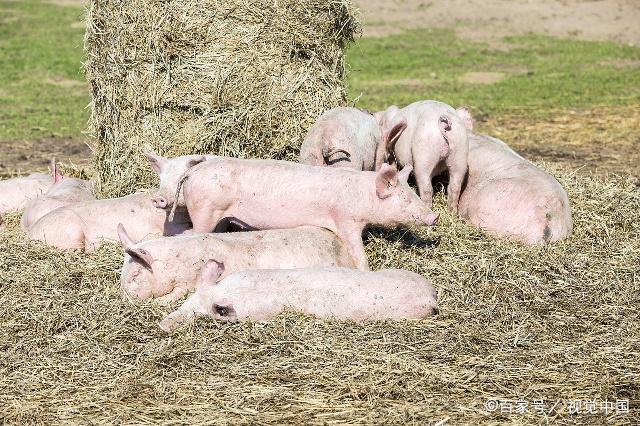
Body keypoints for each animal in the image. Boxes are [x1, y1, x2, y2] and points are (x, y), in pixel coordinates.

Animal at [178, 158, 440, 272]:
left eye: (413, 194)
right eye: (405, 199)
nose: (434, 217)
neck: (361, 195)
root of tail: (193, 172)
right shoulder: (345, 220)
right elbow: (357, 252)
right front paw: (367, 271)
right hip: (205, 210)